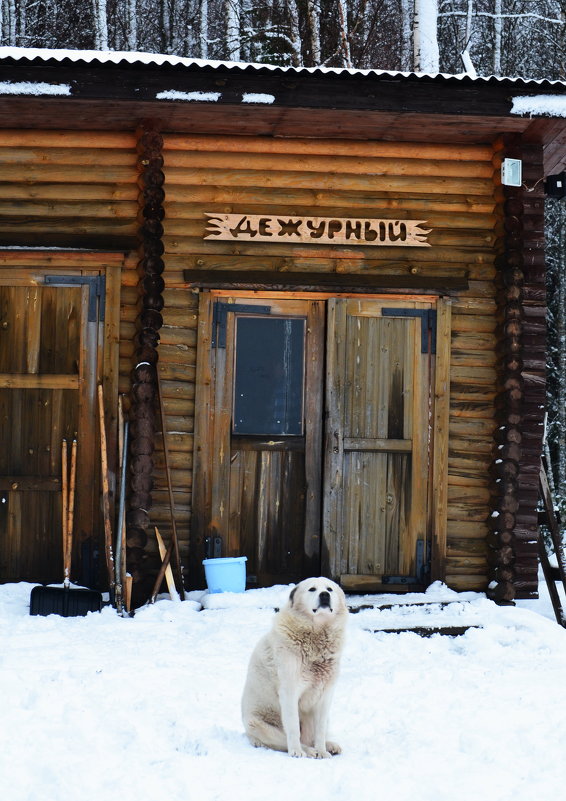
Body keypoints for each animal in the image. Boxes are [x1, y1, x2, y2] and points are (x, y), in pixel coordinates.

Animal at [242, 576, 348, 756]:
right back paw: (308, 751)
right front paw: (297, 752)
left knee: (312, 737)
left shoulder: (325, 696)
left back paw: (329, 746)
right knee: (289, 740)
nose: (324, 595)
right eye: (312, 589)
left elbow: (320, 731)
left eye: (329, 589)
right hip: (259, 724)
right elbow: (292, 729)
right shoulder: (289, 692)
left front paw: (322, 751)